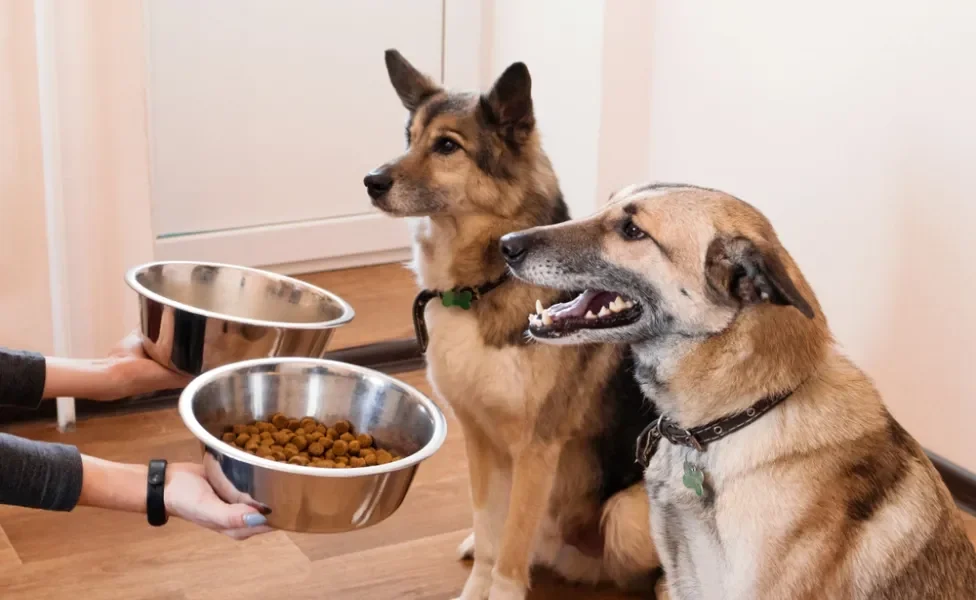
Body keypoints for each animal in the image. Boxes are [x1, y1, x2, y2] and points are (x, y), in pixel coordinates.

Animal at [364, 52, 664, 600]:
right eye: (408, 137)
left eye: (446, 146)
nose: (371, 181)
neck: (482, 285)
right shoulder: (478, 439)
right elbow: (490, 531)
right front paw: (475, 583)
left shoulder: (536, 451)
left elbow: (511, 546)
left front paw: (499, 587)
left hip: (626, 516)